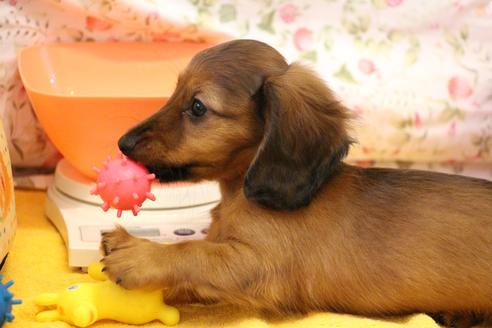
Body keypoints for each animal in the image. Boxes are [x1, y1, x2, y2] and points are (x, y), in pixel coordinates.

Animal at [101, 39, 492, 328]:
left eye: (197, 107)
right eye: (175, 93)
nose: (122, 143)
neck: (239, 196)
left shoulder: (259, 267)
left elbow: (195, 252)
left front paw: (140, 254)